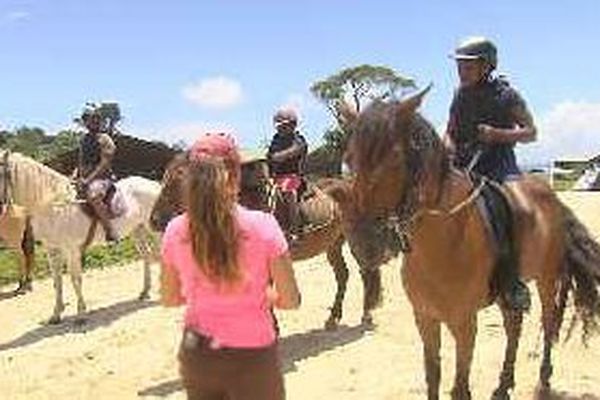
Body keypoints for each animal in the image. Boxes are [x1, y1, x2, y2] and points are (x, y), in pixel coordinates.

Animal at [0, 150, 161, 322]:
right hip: (138, 230)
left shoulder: (72, 250)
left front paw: (81, 314)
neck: (54, 206)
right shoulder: (52, 250)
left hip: (154, 230)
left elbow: (75, 279)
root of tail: (153, 184)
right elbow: (57, 280)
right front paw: (56, 314)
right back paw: (145, 292)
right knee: (147, 256)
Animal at [148, 152, 398, 330]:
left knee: (367, 272)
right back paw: (333, 319)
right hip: (333, 244)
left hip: (356, 238)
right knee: (344, 275)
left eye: (179, 179)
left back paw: (366, 314)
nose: (154, 220)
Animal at [336, 88, 600, 400]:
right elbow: (433, 376)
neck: (440, 243)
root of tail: (552, 197)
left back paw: (543, 382)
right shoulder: (425, 317)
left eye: (395, 160)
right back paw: (502, 386)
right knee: (514, 327)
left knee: (548, 324)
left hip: (547, 279)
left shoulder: (464, 323)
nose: (364, 244)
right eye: (350, 159)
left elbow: (460, 387)